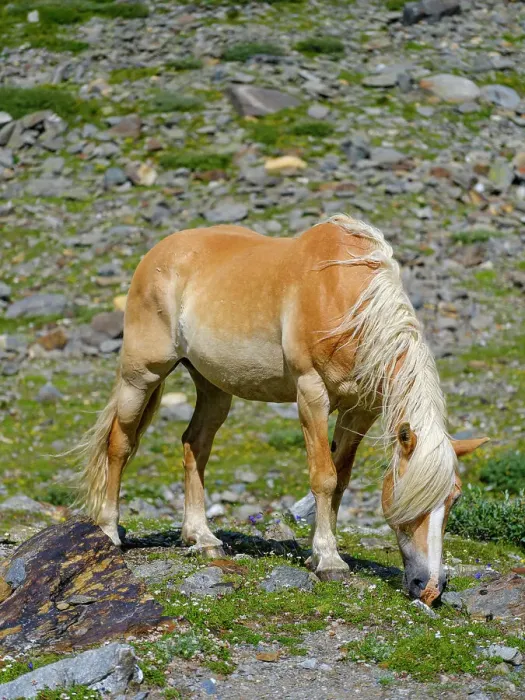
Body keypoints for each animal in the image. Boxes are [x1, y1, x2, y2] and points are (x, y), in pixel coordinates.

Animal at [75, 213, 488, 605]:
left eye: (454, 499)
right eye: (410, 496)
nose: (430, 588)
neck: (346, 301)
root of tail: (157, 254)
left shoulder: (360, 410)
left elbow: (341, 480)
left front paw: (320, 552)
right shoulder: (312, 395)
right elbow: (324, 477)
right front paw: (329, 560)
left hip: (213, 388)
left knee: (195, 445)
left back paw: (202, 538)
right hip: (141, 376)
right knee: (119, 445)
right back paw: (109, 531)